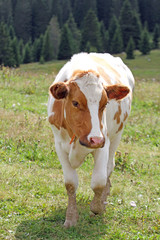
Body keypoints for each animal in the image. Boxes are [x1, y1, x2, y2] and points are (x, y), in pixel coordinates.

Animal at [47, 52, 135, 227]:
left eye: (105, 103)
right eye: (75, 102)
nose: (95, 139)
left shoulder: (104, 142)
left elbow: (99, 181)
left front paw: (97, 207)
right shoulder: (59, 145)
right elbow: (70, 183)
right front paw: (71, 218)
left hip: (116, 136)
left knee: (109, 167)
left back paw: (103, 200)